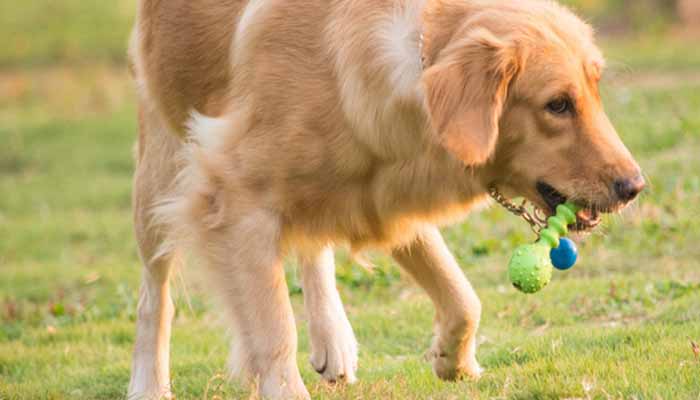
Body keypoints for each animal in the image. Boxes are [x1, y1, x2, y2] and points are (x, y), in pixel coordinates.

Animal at [127, 0, 644, 396]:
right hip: (160, 173)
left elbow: (464, 298)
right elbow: (273, 330)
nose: (635, 187)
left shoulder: (384, 202)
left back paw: (332, 335)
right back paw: (148, 383)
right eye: (557, 105)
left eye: (595, 92)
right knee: (154, 294)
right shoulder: (233, 201)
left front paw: (451, 360)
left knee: (312, 246)